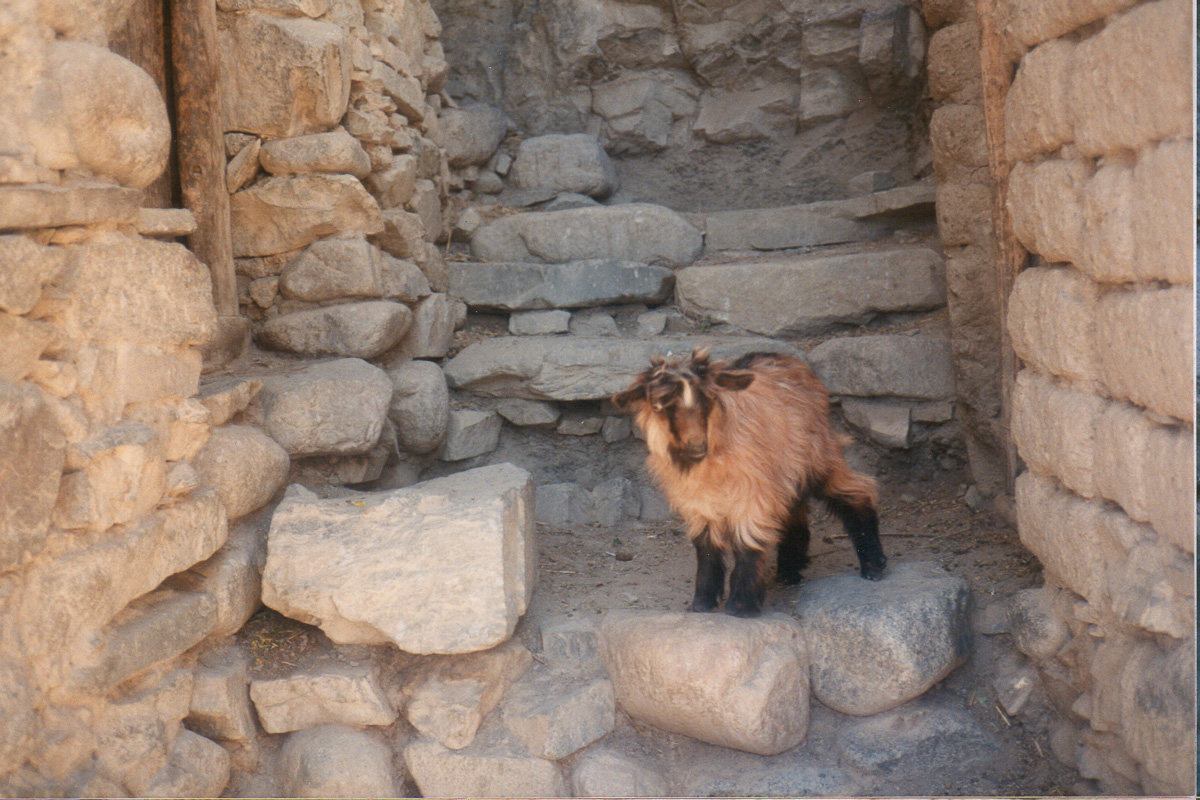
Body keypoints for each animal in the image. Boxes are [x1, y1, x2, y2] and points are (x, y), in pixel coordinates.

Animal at [612, 348, 887, 617]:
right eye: (658, 407)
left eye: (710, 400)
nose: (696, 445)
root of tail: (786, 358)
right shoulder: (698, 500)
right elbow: (706, 546)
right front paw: (702, 602)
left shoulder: (752, 492)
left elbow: (748, 539)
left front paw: (741, 606)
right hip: (787, 472)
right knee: (793, 513)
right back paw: (789, 571)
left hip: (818, 457)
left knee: (858, 491)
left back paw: (873, 566)